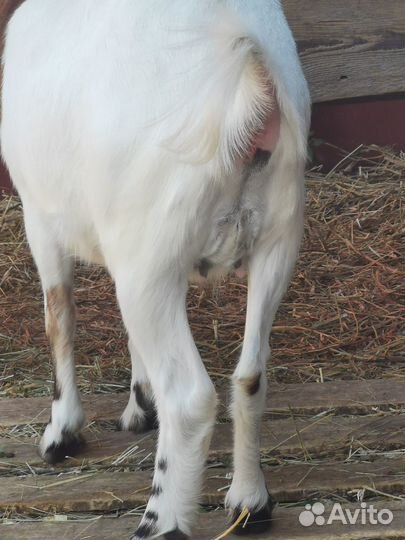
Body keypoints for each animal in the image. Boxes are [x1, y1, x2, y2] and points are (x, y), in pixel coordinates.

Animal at [1, 2, 310, 536]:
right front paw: (140, 403)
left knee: (189, 398)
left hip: (154, 246)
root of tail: (249, 84)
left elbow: (59, 319)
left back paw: (160, 521)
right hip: (276, 238)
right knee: (251, 375)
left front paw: (61, 433)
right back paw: (250, 503)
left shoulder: (41, 218)